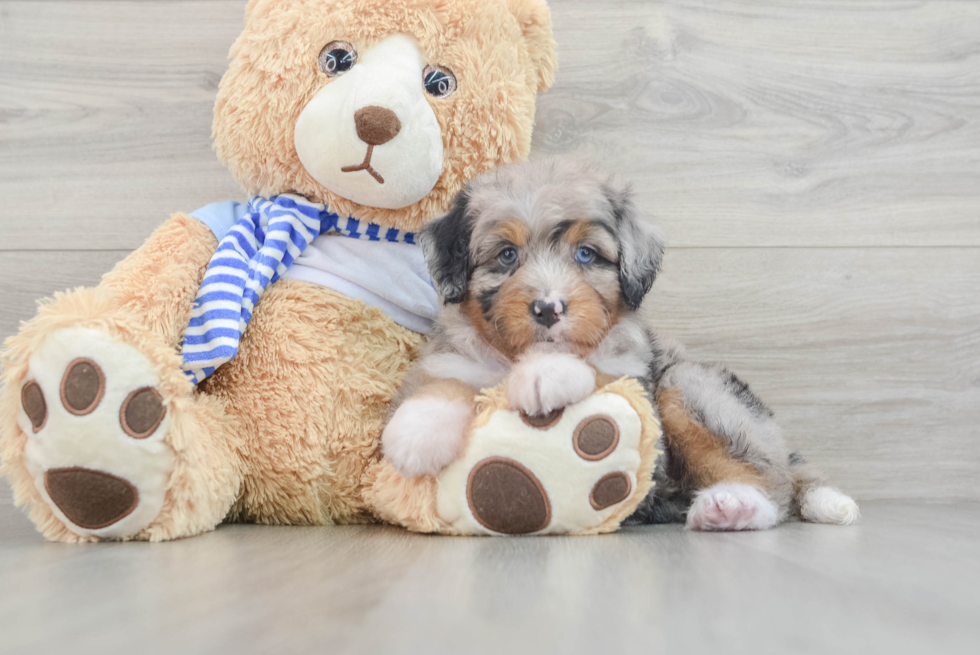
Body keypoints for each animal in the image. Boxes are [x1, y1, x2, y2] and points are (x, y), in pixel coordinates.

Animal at [382, 159, 856, 532]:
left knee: (772, 483)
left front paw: (545, 373)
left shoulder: (634, 383)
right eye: (507, 255)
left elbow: (591, 366)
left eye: (587, 255)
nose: (548, 309)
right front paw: (417, 432)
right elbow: (444, 382)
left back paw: (734, 506)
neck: (512, 357)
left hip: (690, 387)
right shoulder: (453, 357)